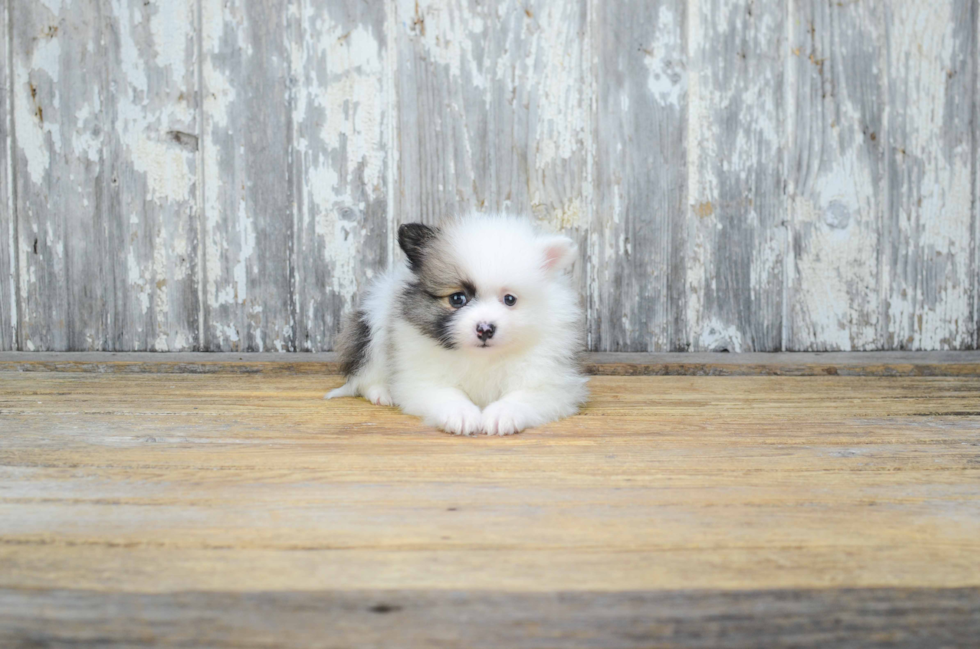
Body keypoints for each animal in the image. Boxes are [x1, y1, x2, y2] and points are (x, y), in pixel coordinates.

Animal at [330, 214, 588, 436]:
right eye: (457, 299)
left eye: (509, 299)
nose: (485, 328)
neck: (483, 359)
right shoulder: (423, 379)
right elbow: (448, 394)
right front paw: (462, 415)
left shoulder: (550, 385)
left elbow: (520, 398)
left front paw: (501, 416)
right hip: (374, 323)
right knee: (364, 374)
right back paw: (382, 393)